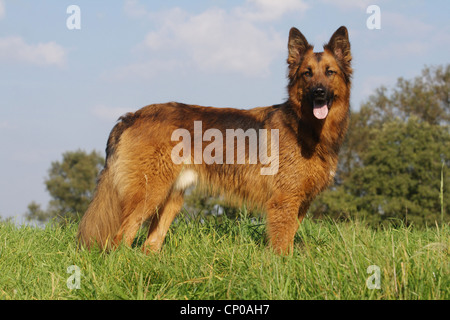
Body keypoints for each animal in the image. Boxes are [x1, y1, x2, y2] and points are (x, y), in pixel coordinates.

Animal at [78, 25, 352, 255]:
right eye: (307, 74)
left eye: (330, 72)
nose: (319, 93)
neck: (303, 125)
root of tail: (131, 116)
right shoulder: (284, 201)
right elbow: (283, 245)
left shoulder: (300, 203)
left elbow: (291, 238)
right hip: (148, 194)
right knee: (120, 238)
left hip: (171, 198)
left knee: (149, 244)